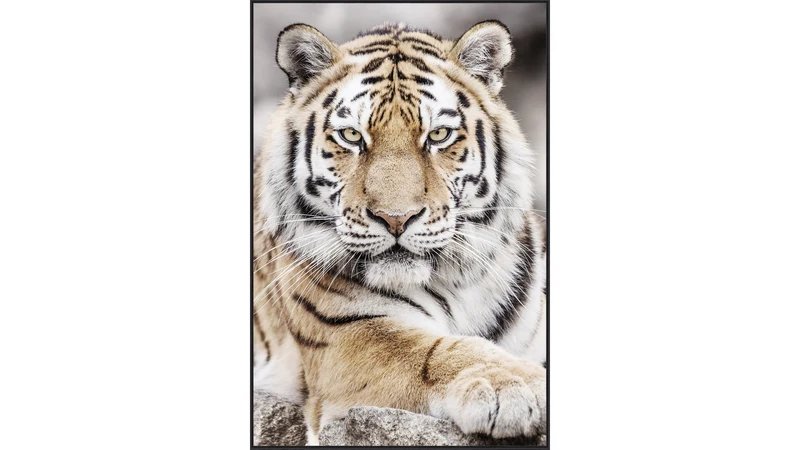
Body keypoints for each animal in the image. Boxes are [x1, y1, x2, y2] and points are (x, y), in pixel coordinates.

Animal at [253, 21, 546, 445]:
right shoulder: (349, 337)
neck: (458, 282)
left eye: (438, 135)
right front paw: (513, 385)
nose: (395, 219)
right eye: (352, 136)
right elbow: (436, 352)